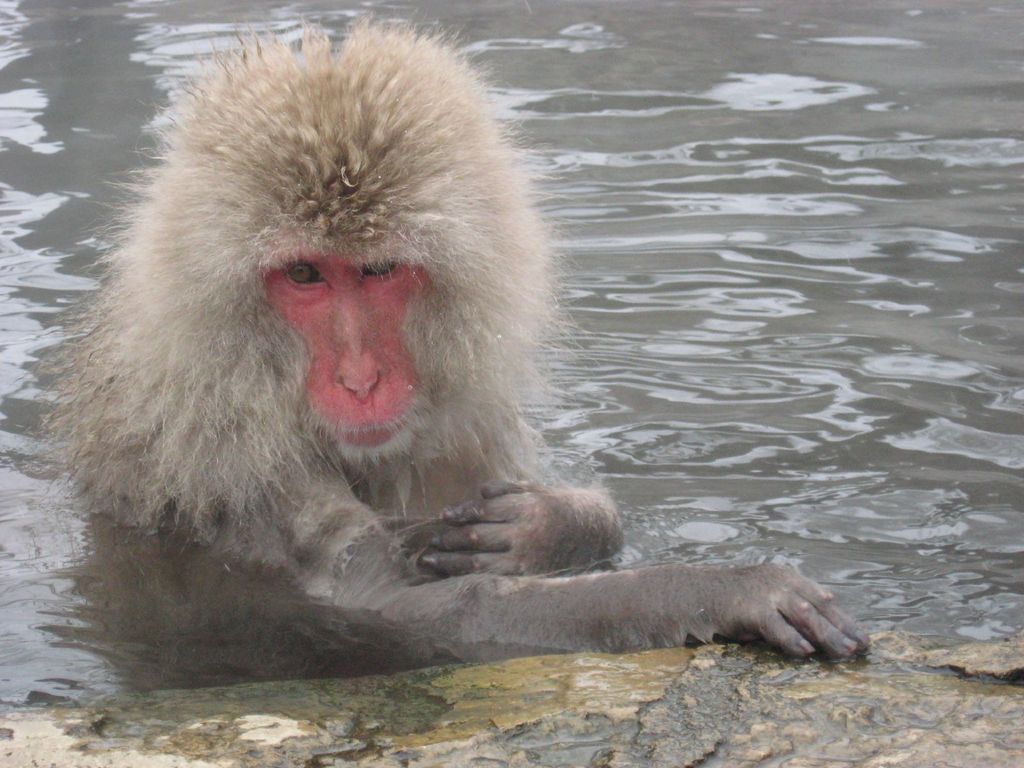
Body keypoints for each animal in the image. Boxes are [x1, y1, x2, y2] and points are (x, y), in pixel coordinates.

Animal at [51, 21, 868, 665]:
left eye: (379, 270)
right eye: (305, 274)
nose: (359, 379)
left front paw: (552, 522)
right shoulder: (233, 461)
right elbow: (418, 610)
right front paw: (724, 588)